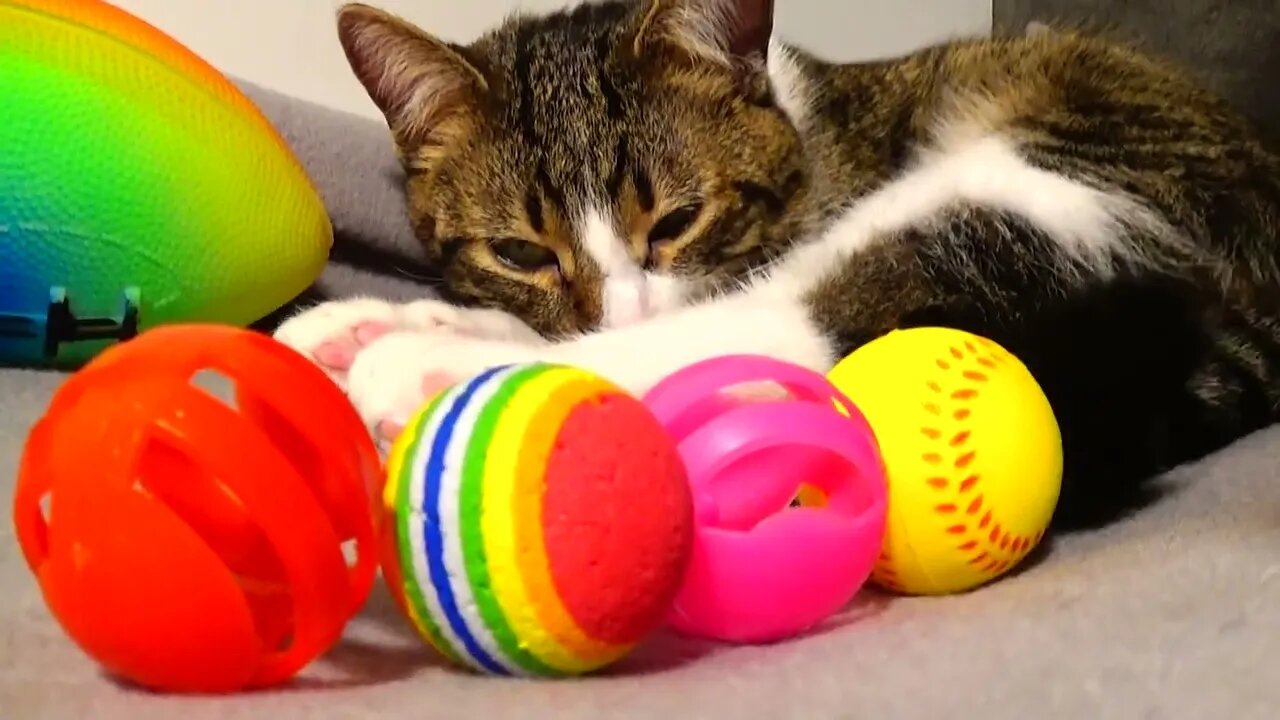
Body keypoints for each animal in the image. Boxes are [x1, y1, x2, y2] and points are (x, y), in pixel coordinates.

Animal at [277, 0, 1280, 527]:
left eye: (680, 220)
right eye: (522, 251)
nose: (626, 311)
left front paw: (425, 343)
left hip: (1068, 165)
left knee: (801, 324)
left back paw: (428, 364)